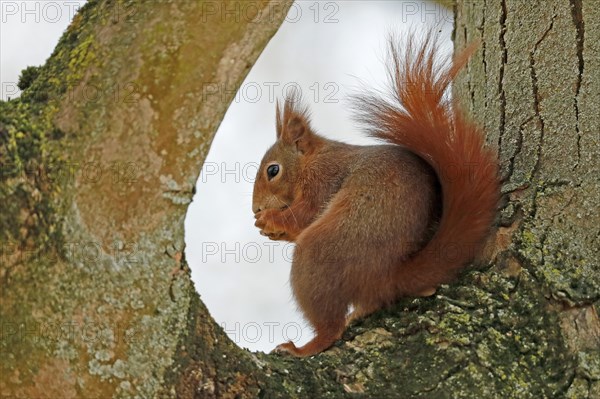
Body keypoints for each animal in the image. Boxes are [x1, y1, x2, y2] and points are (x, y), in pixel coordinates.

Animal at [251, 29, 500, 358]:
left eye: (273, 170)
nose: (254, 208)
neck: (311, 162)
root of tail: (387, 276)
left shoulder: (324, 181)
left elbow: (305, 214)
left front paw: (271, 220)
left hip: (320, 253)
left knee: (330, 324)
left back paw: (304, 347)